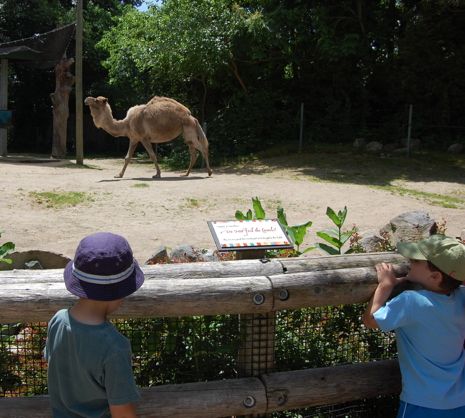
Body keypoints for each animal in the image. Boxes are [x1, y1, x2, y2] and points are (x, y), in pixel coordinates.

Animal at [84, 95, 212, 179]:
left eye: (96, 100)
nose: (86, 99)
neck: (126, 124)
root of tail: (191, 117)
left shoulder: (144, 138)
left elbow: (152, 155)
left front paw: (157, 174)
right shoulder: (134, 138)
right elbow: (127, 157)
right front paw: (119, 175)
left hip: (189, 130)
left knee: (203, 148)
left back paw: (209, 172)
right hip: (187, 134)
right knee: (194, 152)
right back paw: (186, 174)